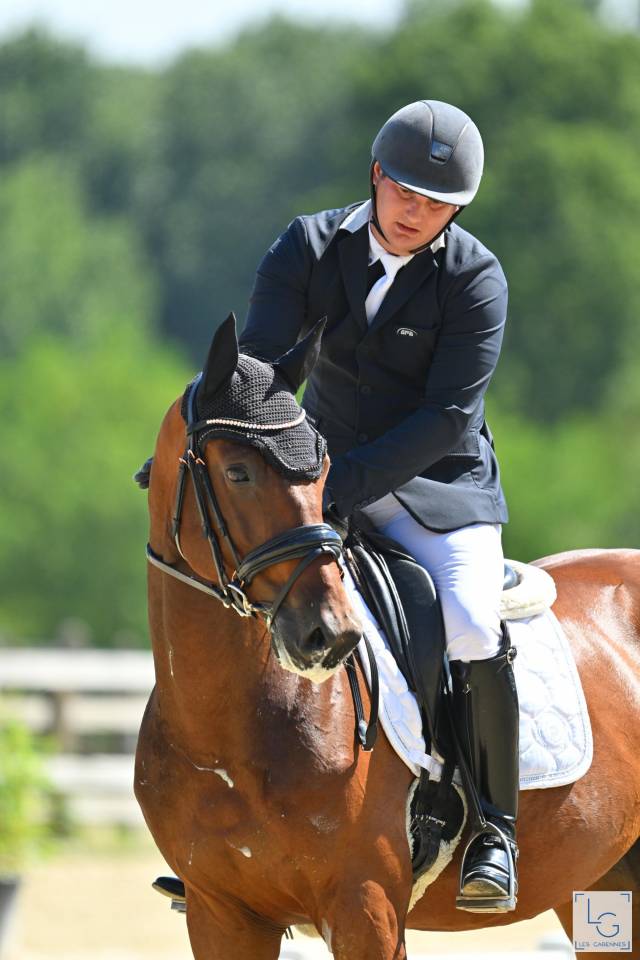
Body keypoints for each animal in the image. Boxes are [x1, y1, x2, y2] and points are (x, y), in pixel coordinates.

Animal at [135, 315, 640, 959]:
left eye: (325, 473)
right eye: (237, 472)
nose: (330, 635)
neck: (225, 729)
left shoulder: (366, 908)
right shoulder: (220, 914)